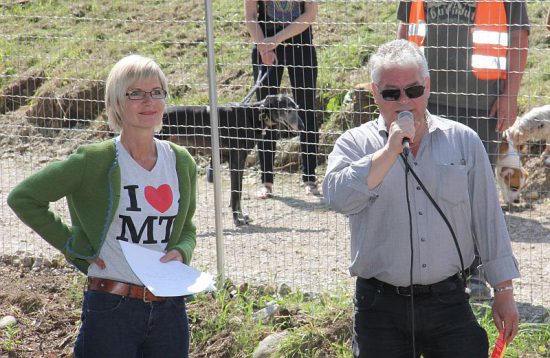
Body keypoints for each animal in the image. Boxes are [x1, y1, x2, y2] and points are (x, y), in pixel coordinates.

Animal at [160, 93, 306, 225]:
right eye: (288, 110)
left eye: (297, 108)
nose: (303, 127)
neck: (252, 115)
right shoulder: (235, 161)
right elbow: (235, 193)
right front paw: (237, 219)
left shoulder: (240, 161)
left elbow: (239, 192)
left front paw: (242, 216)